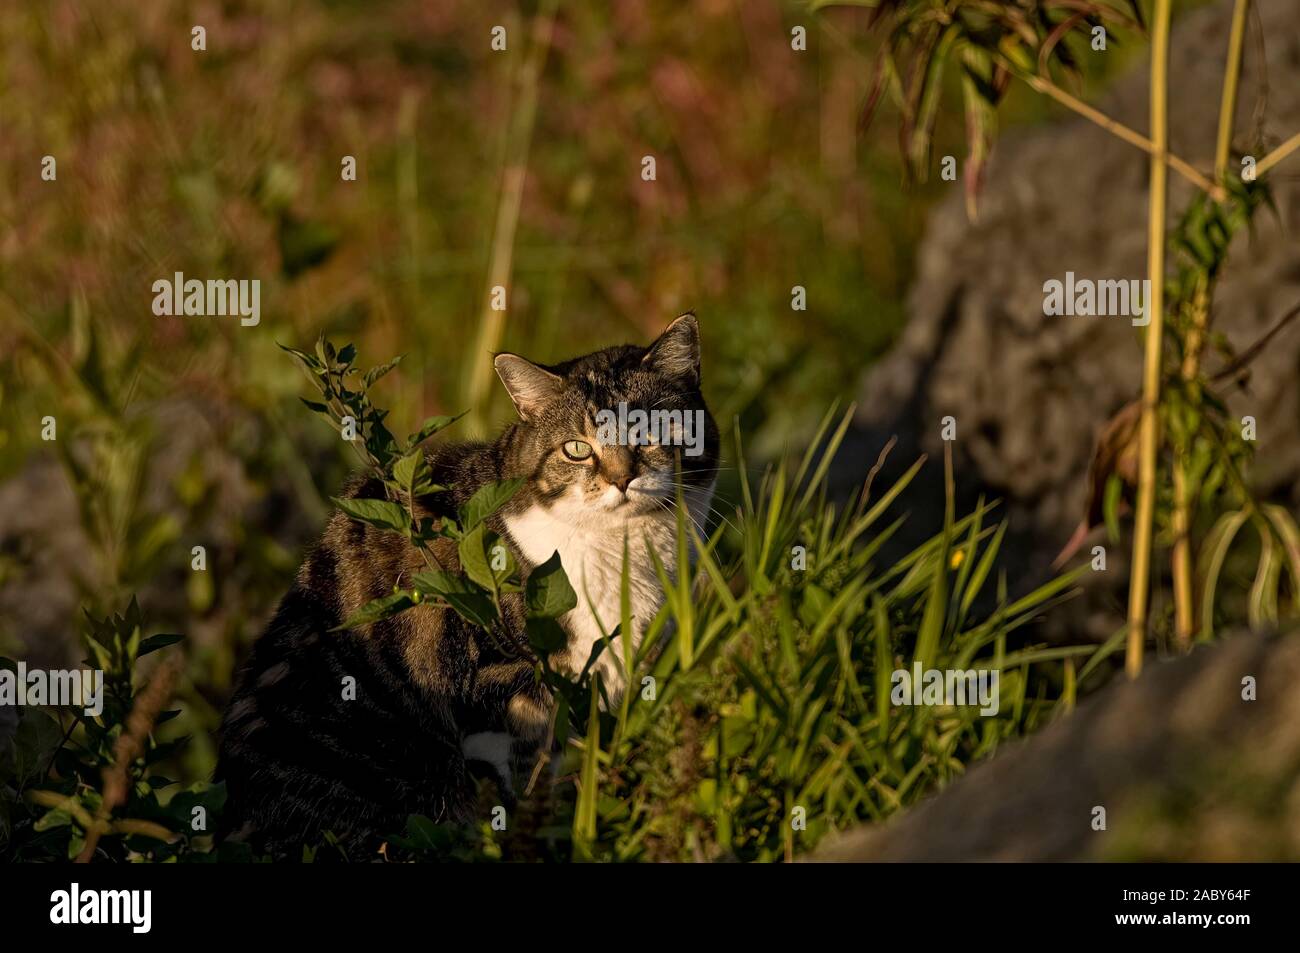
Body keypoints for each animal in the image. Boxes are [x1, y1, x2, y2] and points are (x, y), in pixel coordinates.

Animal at [214, 315, 722, 858]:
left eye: (651, 432)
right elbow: (523, 790)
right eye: (577, 449)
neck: (624, 551)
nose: (621, 479)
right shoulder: (503, 689)